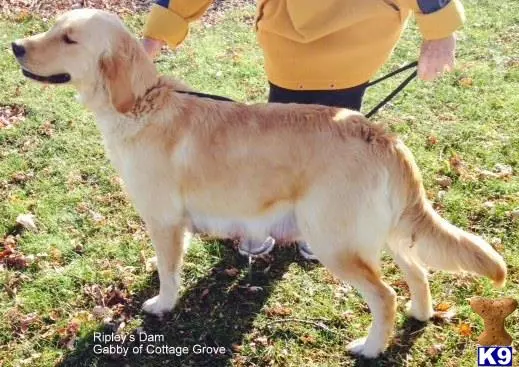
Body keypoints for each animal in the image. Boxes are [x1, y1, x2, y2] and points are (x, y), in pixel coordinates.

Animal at [12, 8, 508, 360]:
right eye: (54, 28)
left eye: (69, 38)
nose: (15, 46)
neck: (140, 105)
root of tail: (384, 136)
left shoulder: (165, 220)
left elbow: (169, 272)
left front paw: (161, 305)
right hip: (385, 234)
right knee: (418, 273)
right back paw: (419, 314)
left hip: (336, 243)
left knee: (383, 296)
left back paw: (370, 347)